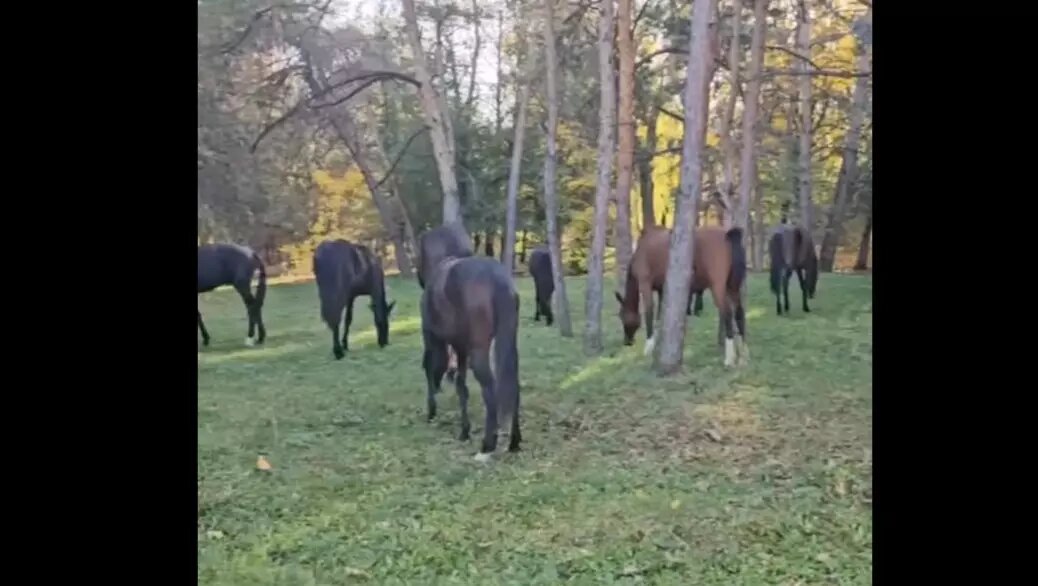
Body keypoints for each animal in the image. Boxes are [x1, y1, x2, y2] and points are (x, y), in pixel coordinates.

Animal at [419, 254, 523, 458]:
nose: (438, 388)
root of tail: (497, 278)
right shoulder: (461, 348)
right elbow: (461, 387)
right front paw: (464, 431)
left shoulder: (433, 338)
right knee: (513, 386)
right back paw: (514, 441)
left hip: (477, 352)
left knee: (491, 390)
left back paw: (488, 444)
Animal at [610, 224, 751, 365]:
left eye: (622, 316)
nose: (627, 342)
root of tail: (728, 235)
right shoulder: (662, 289)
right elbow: (660, 315)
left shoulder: (645, 284)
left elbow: (649, 313)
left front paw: (649, 347)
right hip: (732, 287)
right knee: (739, 312)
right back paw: (743, 354)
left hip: (718, 287)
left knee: (727, 313)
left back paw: (729, 358)